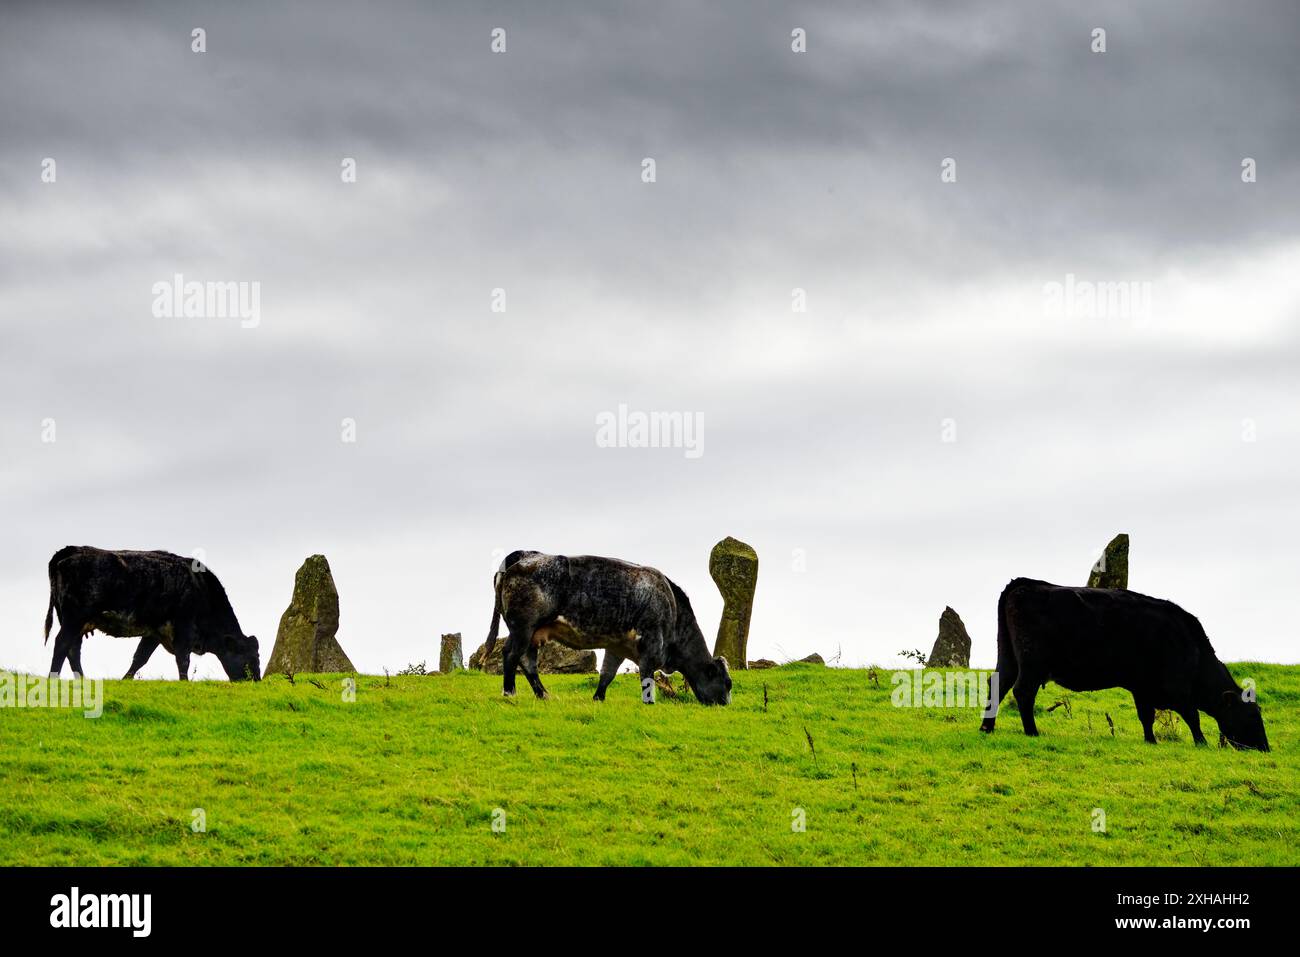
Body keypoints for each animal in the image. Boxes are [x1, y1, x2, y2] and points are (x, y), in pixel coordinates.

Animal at [43, 546, 261, 681]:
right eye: (249, 660)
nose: (256, 681)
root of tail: (72, 550)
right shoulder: (184, 628)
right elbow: (183, 659)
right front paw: (184, 682)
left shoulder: (155, 632)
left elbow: (140, 657)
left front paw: (126, 679)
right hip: (74, 618)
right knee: (62, 644)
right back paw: (53, 678)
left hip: (75, 621)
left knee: (73, 649)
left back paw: (82, 679)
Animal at [486, 553, 733, 702]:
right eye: (727, 684)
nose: (725, 705)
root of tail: (526, 556)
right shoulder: (651, 644)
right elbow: (647, 677)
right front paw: (649, 702)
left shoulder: (617, 646)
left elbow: (607, 674)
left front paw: (598, 698)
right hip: (522, 628)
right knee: (510, 655)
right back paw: (509, 692)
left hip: (533, 634)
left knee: (528, 662)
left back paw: (543, 694)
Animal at [977, 579, 1263, 748]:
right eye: (1251, 715)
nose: (1265, 747)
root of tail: (1026, 583)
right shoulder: (1178, 688)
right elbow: (1192, 716)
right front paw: (1201, 742)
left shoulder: (1142, 687)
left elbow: (1146, 716)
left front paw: (1151, 741)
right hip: (1032, 663)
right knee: (1022, 691)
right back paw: (1032, 732)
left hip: (1008, 657)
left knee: (998, 686)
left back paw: (986, 728)